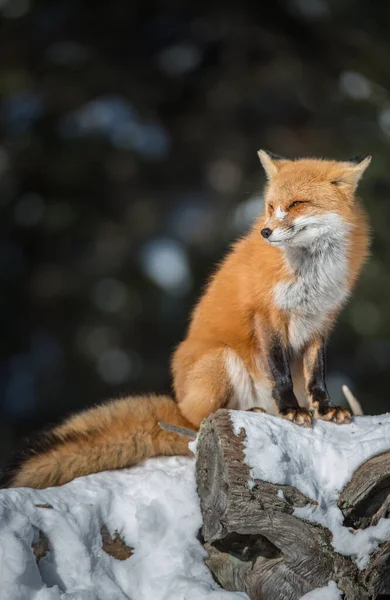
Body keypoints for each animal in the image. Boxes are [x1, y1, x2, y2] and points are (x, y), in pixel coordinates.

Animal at [0, 151, 370, 488]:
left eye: (296, 204)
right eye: (269, 206)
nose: (265, 232)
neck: (311, 273)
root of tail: (179, 402)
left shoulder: (321, 320)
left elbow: (315, 375)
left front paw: (325, 409)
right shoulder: (267, 316)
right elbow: (281, 374)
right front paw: (291, 410)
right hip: (221, 361)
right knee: (196, 426)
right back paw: (250, 413)